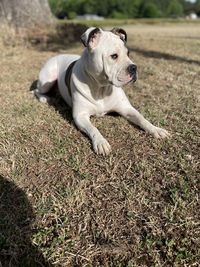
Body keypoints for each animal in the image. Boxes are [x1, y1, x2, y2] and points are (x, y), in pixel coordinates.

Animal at [34, 27, 169, 156]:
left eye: (128, 53)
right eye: (114, 56)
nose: (133, 67)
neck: (101, 88)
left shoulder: (126, 109)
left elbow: (141, 118)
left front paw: (156, 129)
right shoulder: (80, 116)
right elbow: (93, 128)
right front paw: (101, 142)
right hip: (47, 80)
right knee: (36, 90)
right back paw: (44, 98)